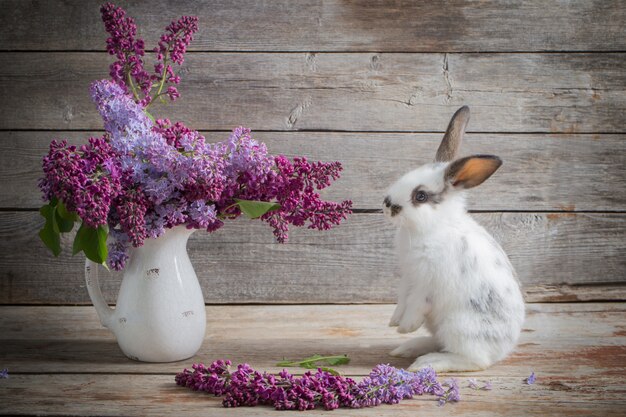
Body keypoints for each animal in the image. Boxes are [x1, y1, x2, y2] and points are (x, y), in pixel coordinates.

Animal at [382, 106, 524, 370]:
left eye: (420, 196)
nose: (387, 204)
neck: (433, 227)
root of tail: (503, 349)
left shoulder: (428, 282)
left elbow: (416, 304)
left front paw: (406, 327)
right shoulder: (408, 277)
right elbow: (402, 299)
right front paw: (395, 322)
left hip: (458, 326)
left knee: (473, 360)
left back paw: (427, 362)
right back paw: (409, 348)